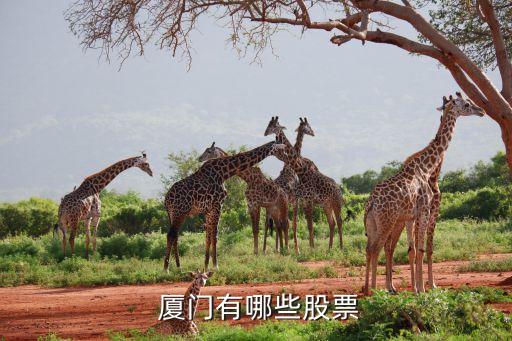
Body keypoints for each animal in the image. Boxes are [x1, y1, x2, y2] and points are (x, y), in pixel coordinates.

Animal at [164, 139, 286, 270]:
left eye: (208, 151)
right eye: (277, 146)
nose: (284, 149)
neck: (224, 172)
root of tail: (166, 200)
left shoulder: (209, 210)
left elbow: (208, 237)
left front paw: (206, 265)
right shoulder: (218, 205)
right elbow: (215, 236)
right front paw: (215, 266)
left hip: (173, 214)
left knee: (174, 235)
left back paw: (178, 266)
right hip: (180, 213)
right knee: (171, 235)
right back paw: (167, 268)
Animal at [264, 117, 344, 250]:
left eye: (273, 125)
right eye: (308, 126)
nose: (313, 132)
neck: (301, 171)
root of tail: (339, 189)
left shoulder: (304, 200)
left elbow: (304, 224)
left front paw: (308, 248)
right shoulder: (303, 200)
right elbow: (304, 224)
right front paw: (308, 248)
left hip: (334, 203)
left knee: (338, 221)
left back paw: (339, 248)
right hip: (326, 204)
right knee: (332, 222)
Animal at [364, 91, 484, 294]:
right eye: (467, 104)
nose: (481, 110)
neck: (427, 168)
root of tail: (371, 203)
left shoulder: (413, 215)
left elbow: (414, 250)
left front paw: (418, 288)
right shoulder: (425, 211)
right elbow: (421, 249)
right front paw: (422, 289)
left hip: (374, 223)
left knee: (370, 249)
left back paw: (368, 289)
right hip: (387, 221)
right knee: (377, 249)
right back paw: (375, 291)